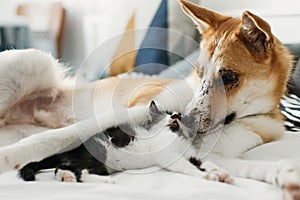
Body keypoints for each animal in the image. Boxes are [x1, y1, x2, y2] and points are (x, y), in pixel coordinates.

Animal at [19, 101, 232, 184]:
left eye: (179, 116)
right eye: (166, 113)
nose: (176, 116)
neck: (174, 137)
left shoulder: (190, 154)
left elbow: (204, 162)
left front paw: (220, 173)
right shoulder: (168, 156)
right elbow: (187, 167)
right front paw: (207, 176)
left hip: (101, 165)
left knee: (69, 169)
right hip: (98, 153)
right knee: (69, 169)